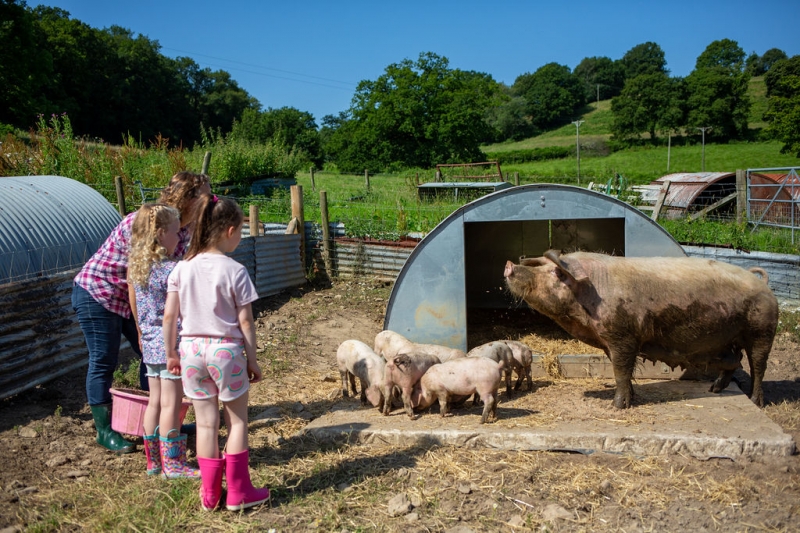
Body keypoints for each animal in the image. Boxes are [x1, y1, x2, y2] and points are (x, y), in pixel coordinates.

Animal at [504, 250, 778, 409]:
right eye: (539, 267)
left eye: (555, 272)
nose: (509, 264)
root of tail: (764, 285)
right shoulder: (611, 340)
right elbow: (623, 372)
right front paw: (631, 398)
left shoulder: (623, 336)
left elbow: (621, 370)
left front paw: (616, 407)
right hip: (728, 339)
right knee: (734, 360)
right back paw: (715, 390)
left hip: (762, 330)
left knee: (757, 365)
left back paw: (756, 402)